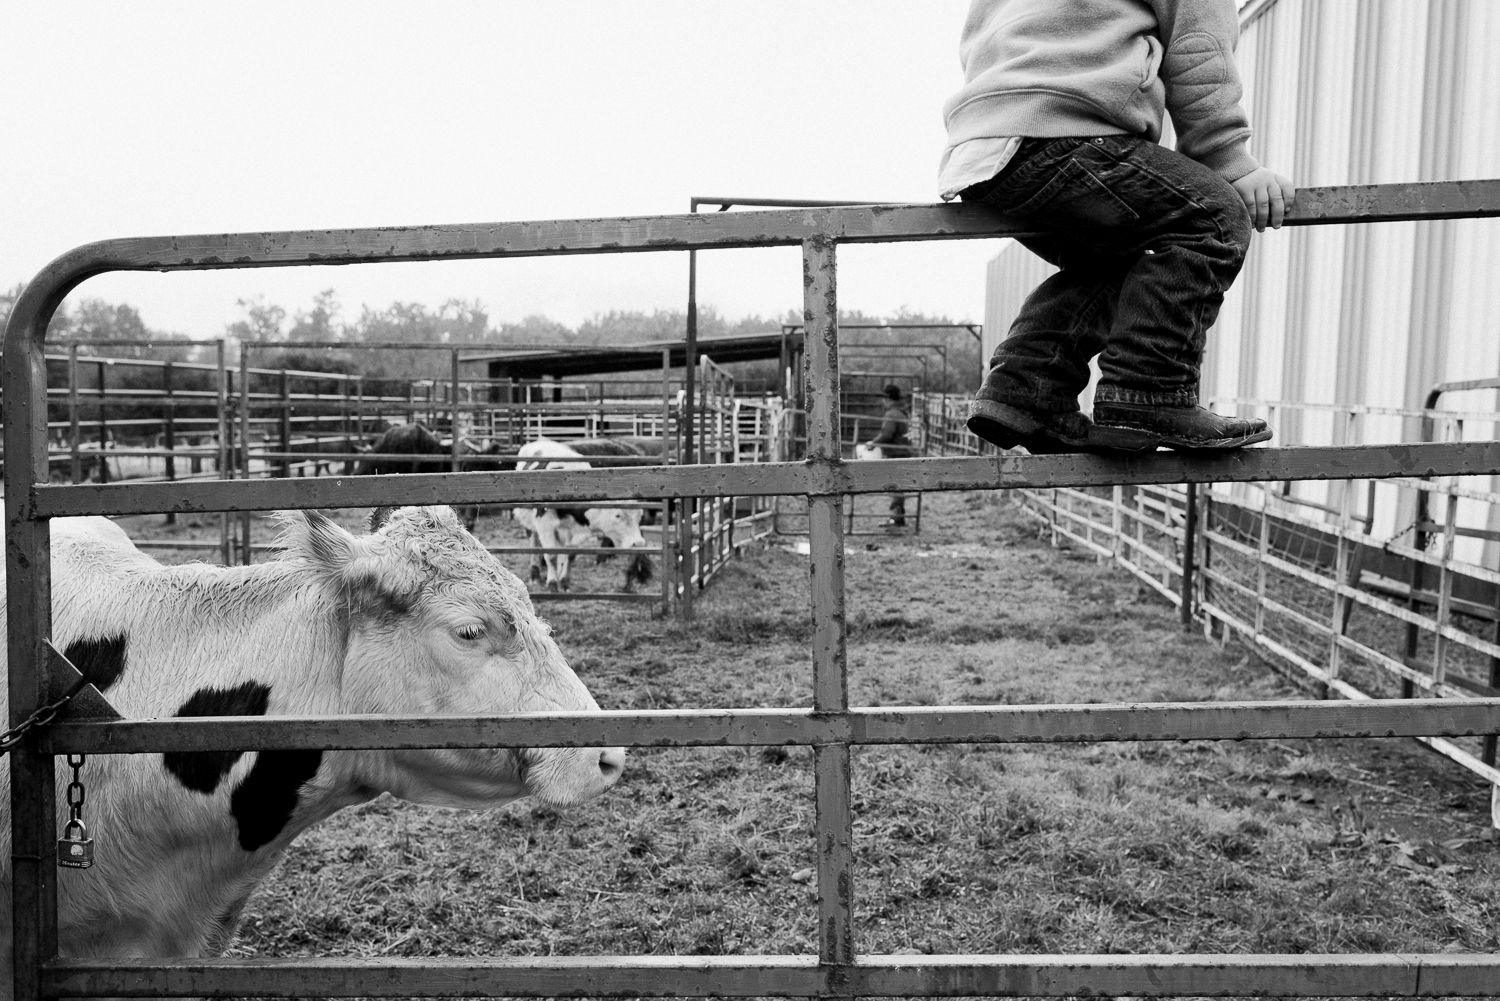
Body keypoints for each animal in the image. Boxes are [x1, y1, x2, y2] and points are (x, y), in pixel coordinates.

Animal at [519, 438, 654, 594]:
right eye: (617, 515)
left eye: (639, 515)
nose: (638, 544)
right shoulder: (545, 525)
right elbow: (551, 555)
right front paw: (552, 584)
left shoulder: (571, 530)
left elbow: (569, 555)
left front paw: (564, 582)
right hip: (532, 525)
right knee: (534, 543)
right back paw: (534, 574)